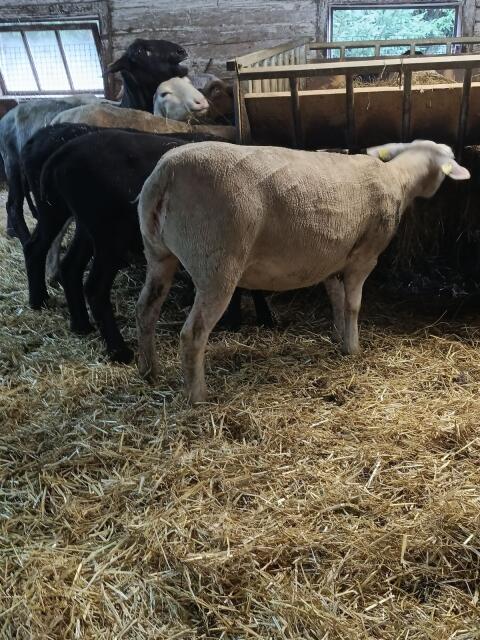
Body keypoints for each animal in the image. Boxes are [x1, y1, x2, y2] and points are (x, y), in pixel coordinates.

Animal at [135, 139, 470, 403]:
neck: (398, 178)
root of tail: (164, 175)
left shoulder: (333, 260)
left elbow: (336, 300)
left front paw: (339, 337)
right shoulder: (363, 257)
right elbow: (353, 305)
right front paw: (353, 348)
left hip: (157, 253)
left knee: (145, 310)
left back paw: (149, 371)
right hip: (216, 263)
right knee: (193, 334)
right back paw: (198, 397)